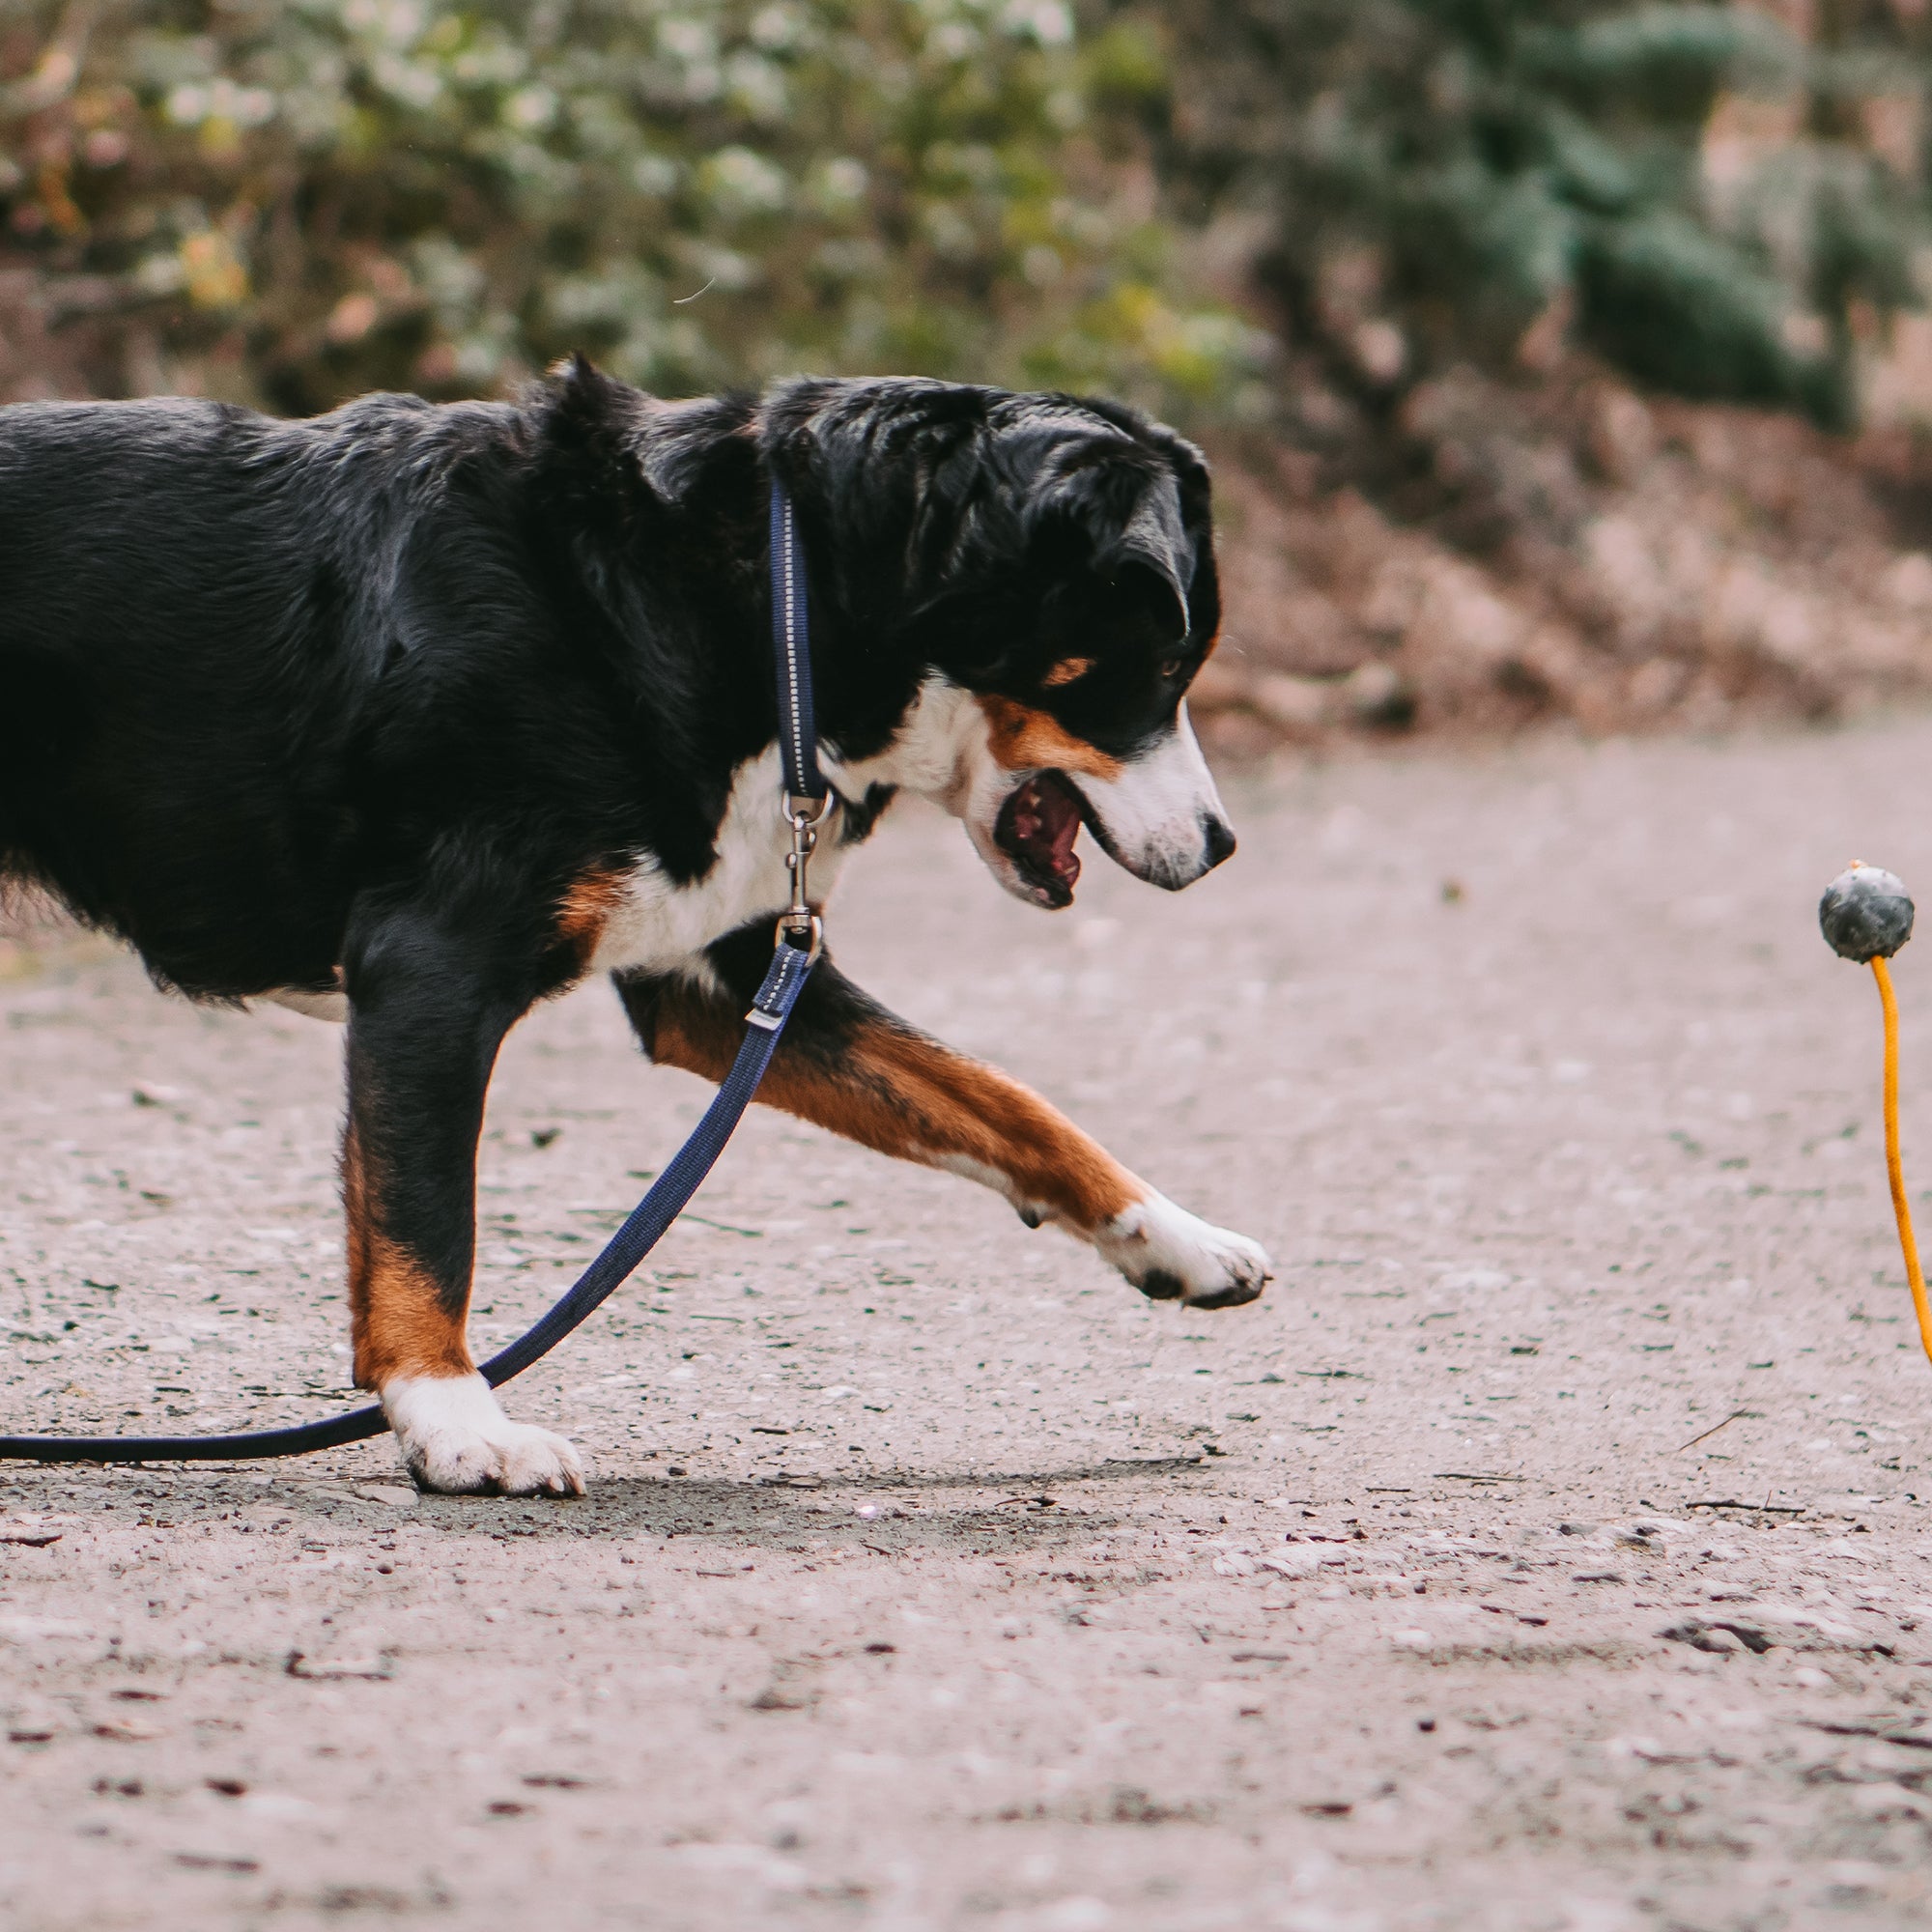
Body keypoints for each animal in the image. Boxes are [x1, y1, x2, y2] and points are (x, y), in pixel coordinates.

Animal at [0, 369, 1275, 1499]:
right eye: (1164, 663)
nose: (1222, 846)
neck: (773, 607)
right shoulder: (431, 967)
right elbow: (426, 1223)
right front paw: (455, 1420)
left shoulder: (719, 976)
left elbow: (1001, 1099)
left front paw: (1173, 1236)